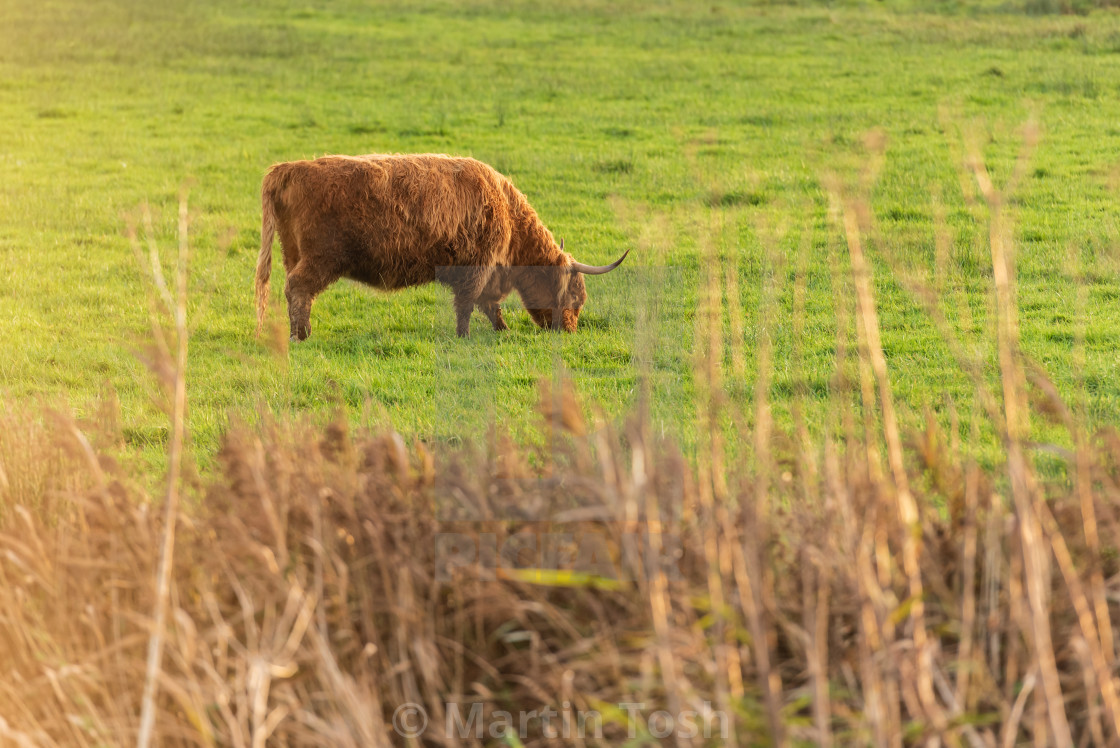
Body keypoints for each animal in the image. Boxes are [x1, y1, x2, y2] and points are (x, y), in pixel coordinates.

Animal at [253, 153, 631, 340]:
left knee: (298, 292)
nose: (569, 331)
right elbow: (469, 304)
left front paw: (503, 331)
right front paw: (465, 336)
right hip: (321, 258)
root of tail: (288, 169)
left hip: (293, 253)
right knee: (298, 288)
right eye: (576, 298)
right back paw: (300, 335)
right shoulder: (478, 266)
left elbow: (488, 305)